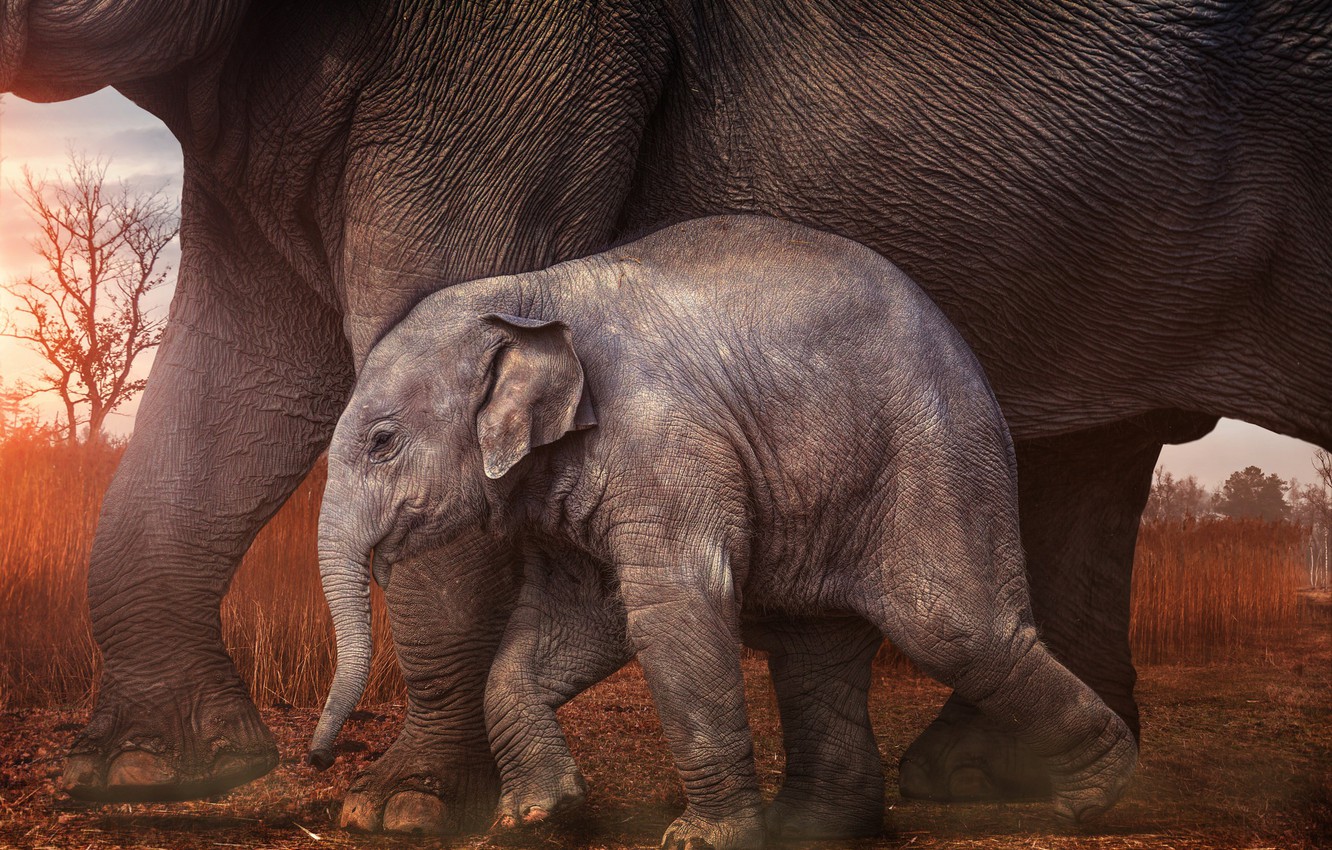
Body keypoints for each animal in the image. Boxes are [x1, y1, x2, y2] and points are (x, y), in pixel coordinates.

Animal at [308, 217, 1138, 847]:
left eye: (382, 442)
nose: (318, 762)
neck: (529, 290)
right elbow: (576, 621)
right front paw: (532, 818)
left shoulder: (666, 443)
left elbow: (673, 609)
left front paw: (699, 841)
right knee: (812, 647)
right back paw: (811, 829)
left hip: (937, 455)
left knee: (952, 627)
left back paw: (1100, 795)